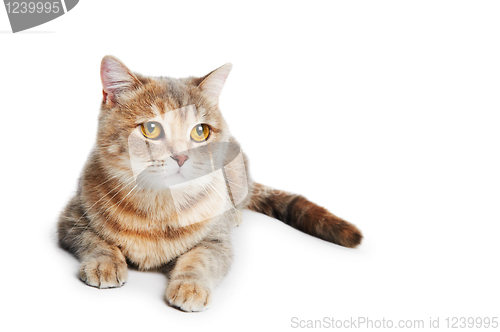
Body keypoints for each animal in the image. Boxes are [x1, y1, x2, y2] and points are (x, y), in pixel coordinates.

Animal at [57, 55, 364, 312]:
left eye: (200, 131)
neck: (159, 206)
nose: (181, 157)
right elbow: (95, 240)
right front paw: (105, 263)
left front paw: (190, 286)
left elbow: (201, 258)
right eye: (151, 128)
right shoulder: (72, 217)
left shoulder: (217, 240)